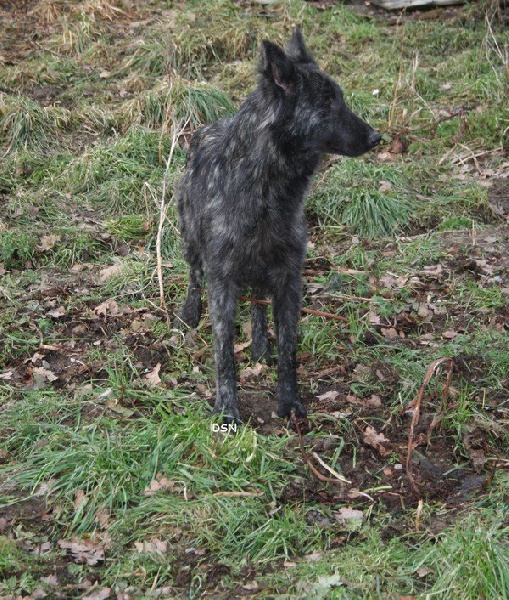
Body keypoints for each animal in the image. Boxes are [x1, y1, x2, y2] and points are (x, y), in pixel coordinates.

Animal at [177, 27, 380, 422]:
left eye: (341, 98)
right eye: (326, 103)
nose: (376, 138)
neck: (267, 191)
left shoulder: (288, 278)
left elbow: (289, 349)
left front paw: (289, 401)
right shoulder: (222, 281)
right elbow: (224, 353)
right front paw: (227, 409)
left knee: (257, 303)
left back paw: (259, 344)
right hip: (191, 241)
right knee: (194, 275)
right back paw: (190, 313)